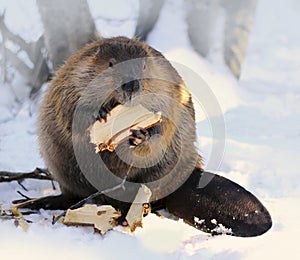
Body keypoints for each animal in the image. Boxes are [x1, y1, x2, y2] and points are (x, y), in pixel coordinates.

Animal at [33, 36, 272, 238]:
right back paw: (43, 202)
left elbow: (164, 126)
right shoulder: (73, 77)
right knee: (70, 194)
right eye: (110, 64)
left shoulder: (167, 89)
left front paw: (141, 136)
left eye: (144, 66)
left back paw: (125, 215)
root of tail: (189, 179)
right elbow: (70, 109)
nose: (131, 85)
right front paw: (99, 113)